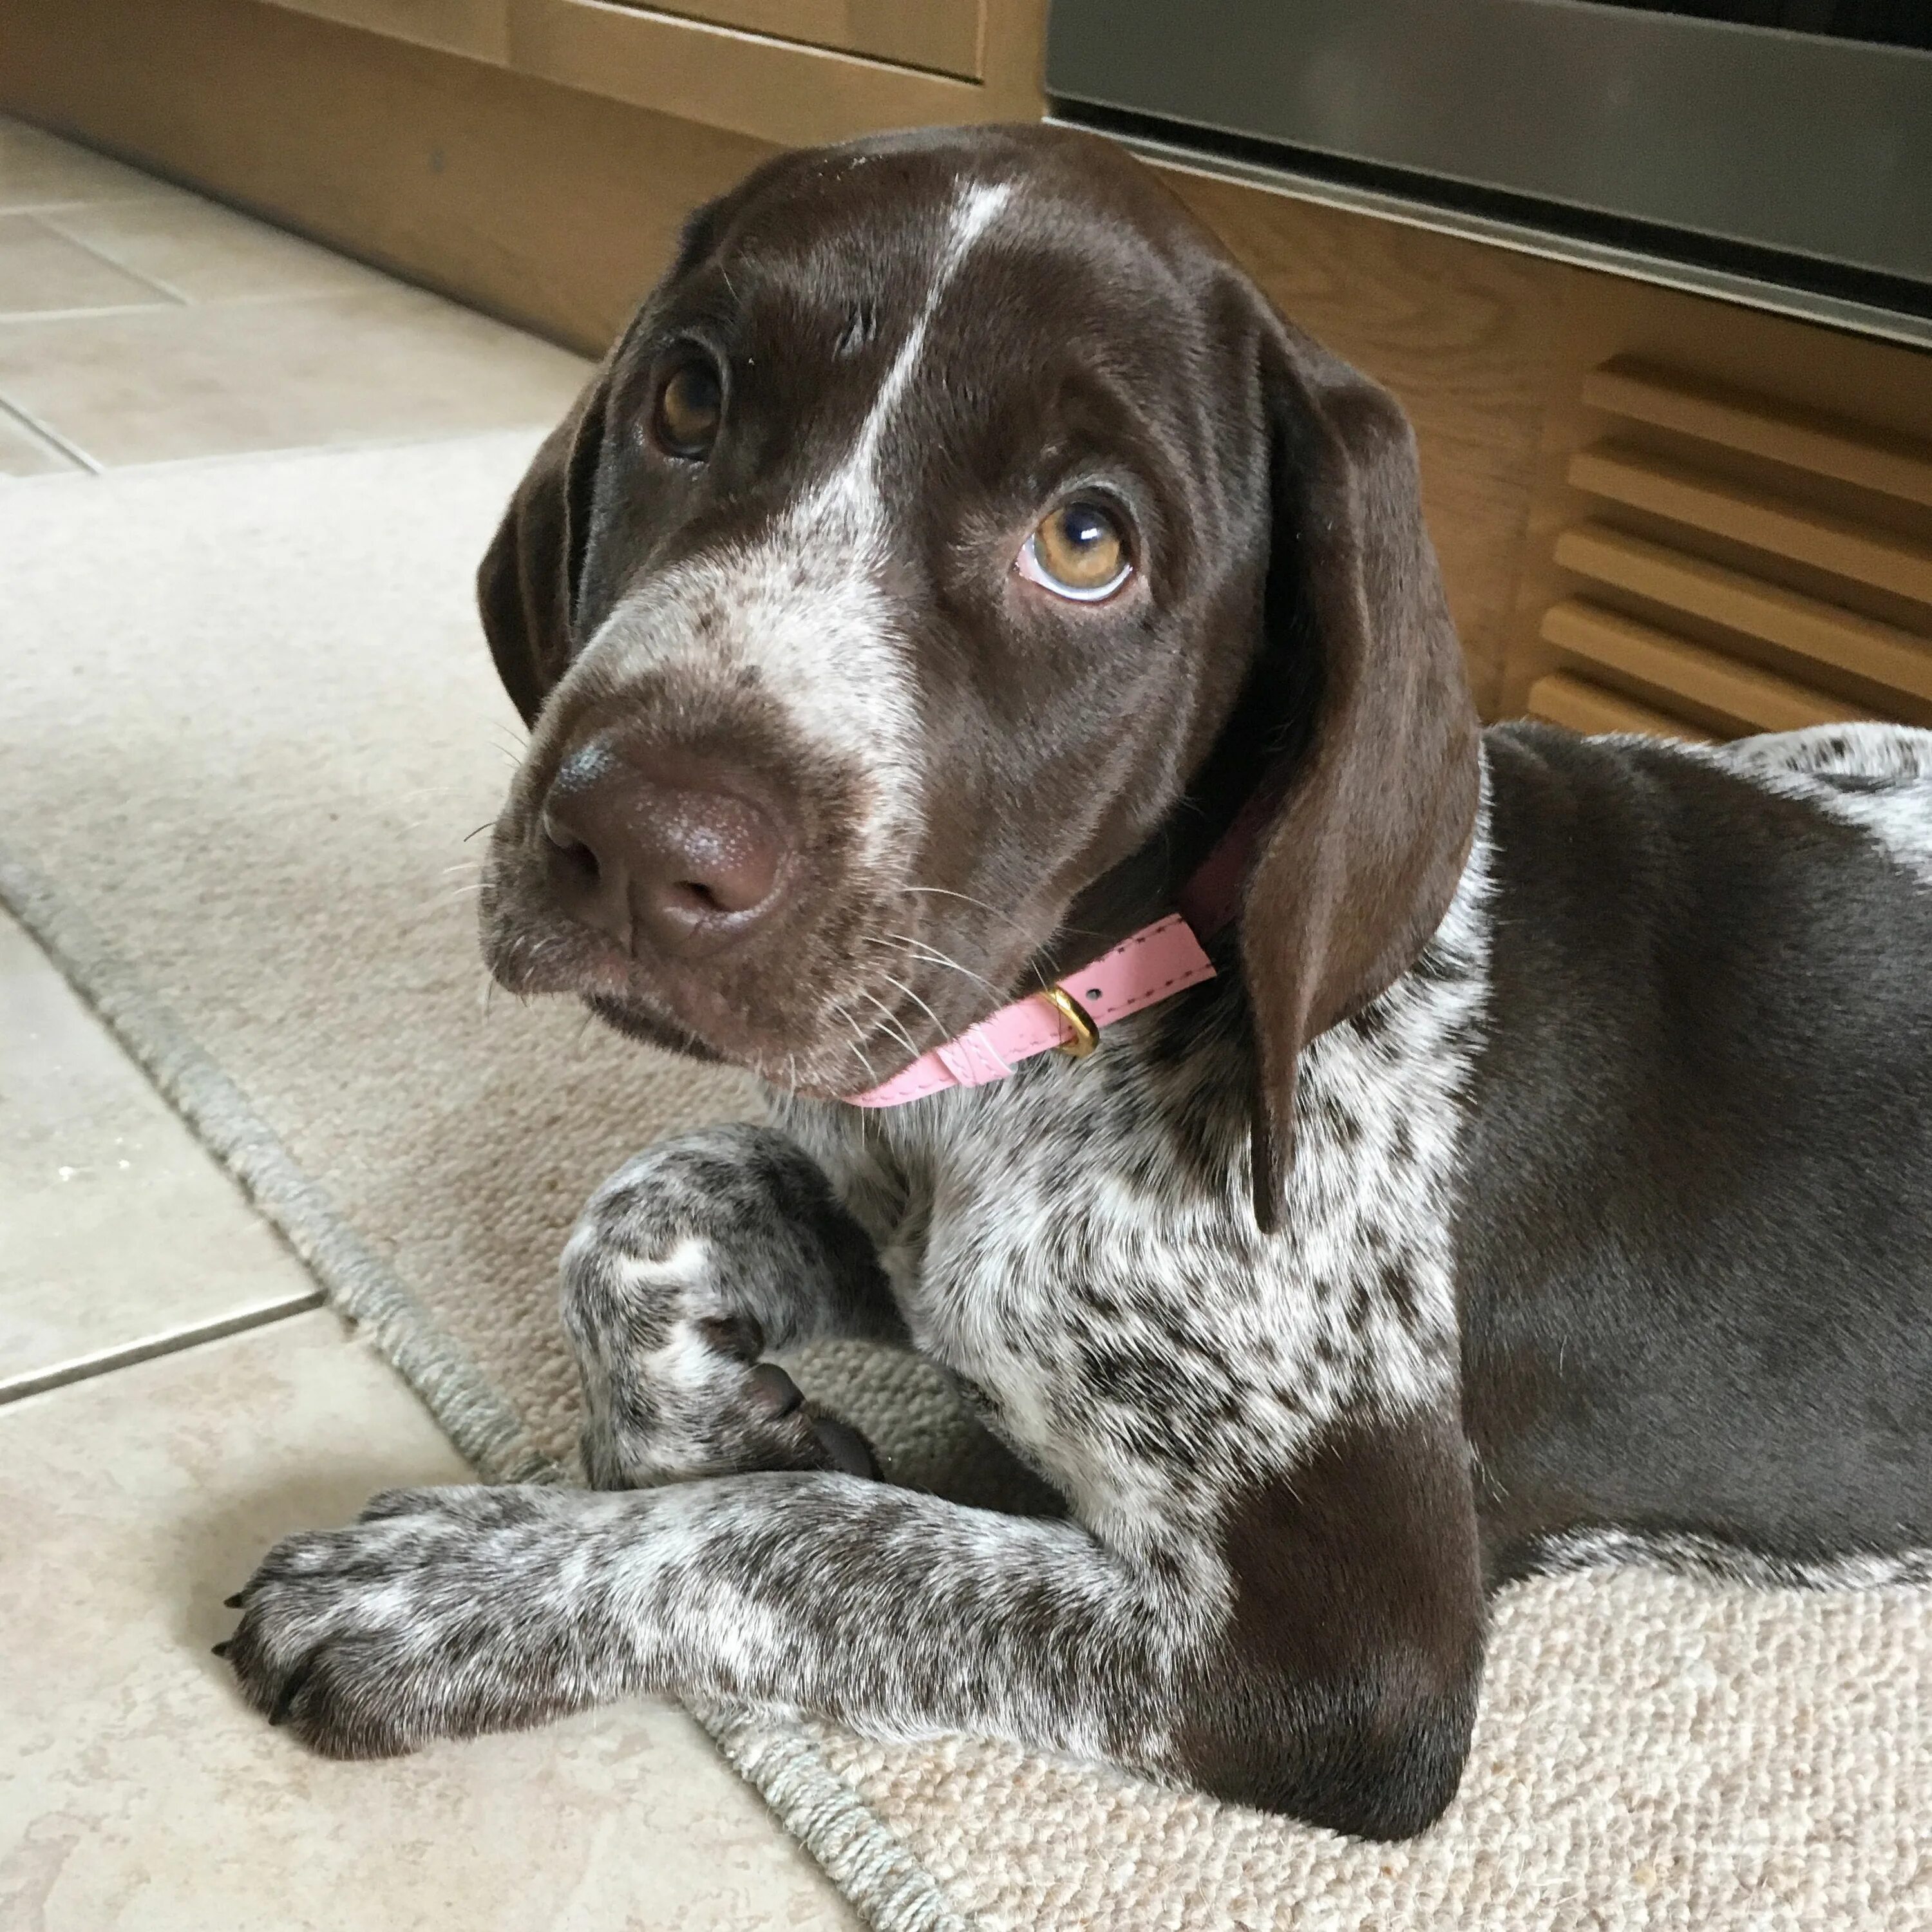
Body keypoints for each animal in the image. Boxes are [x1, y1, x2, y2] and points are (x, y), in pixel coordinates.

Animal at [226, 120, 1932, 1839]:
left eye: (1086, 540)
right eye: (689, 399)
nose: (635, 842)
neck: (1058, 1045)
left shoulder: (1335, 1659)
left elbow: (804, 1540)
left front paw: (449, 1584)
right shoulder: (918, 1233)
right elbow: (642, 1207)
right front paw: (706, 1419)